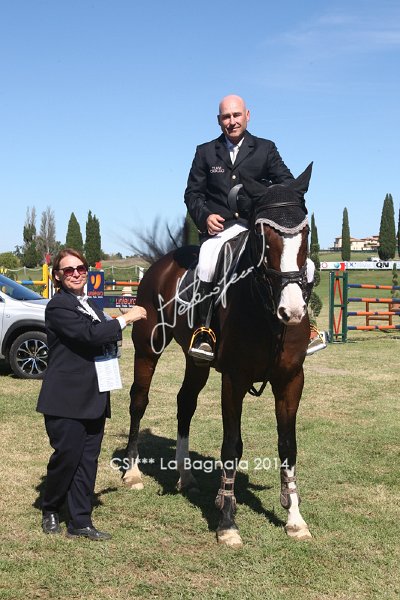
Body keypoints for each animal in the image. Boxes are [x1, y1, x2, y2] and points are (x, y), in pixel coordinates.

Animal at [123, 164, 313, 548]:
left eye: (306, 232)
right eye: (263, 237)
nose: (293, 310)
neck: (267, 312)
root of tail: (162, 262)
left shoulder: (290, 380)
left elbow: (288, 445)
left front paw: (295, 519)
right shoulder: (234, 380)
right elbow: (232, 446)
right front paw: (227, 521)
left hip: (196, 361)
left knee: (185, 403)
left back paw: (184, 476)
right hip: (147, 349)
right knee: (139, 401)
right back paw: (132, 472)